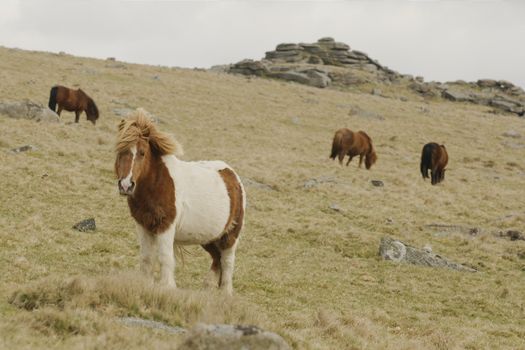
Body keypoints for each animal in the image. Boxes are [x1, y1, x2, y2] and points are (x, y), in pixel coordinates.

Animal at [113, 109, 245, 296]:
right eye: (120, 151)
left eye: (142, 152)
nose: (126, 185)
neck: (158, 183)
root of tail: (232, 175)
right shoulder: (143, 226)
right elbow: (146, 258)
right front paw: (145, 285)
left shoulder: (165, 226)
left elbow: (165, 257)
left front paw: (167, 288)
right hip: (208, 237)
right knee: (217, 258)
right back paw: (208, 288)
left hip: (230, 235)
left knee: (227, 262)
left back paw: (225, 294)